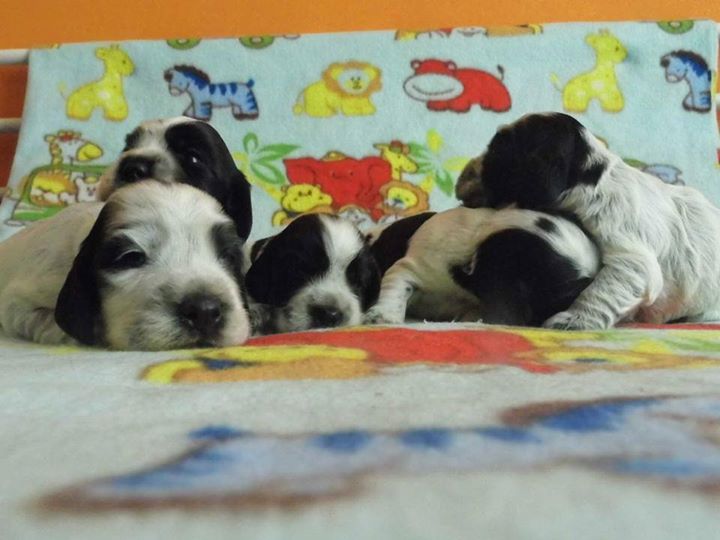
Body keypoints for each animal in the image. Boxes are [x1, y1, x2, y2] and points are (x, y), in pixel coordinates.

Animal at [456, 112, 720, 329]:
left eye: (497, 150)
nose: (463, 173)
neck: (592, 183)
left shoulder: (628, 253)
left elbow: (603, 289)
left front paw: (573, 320)